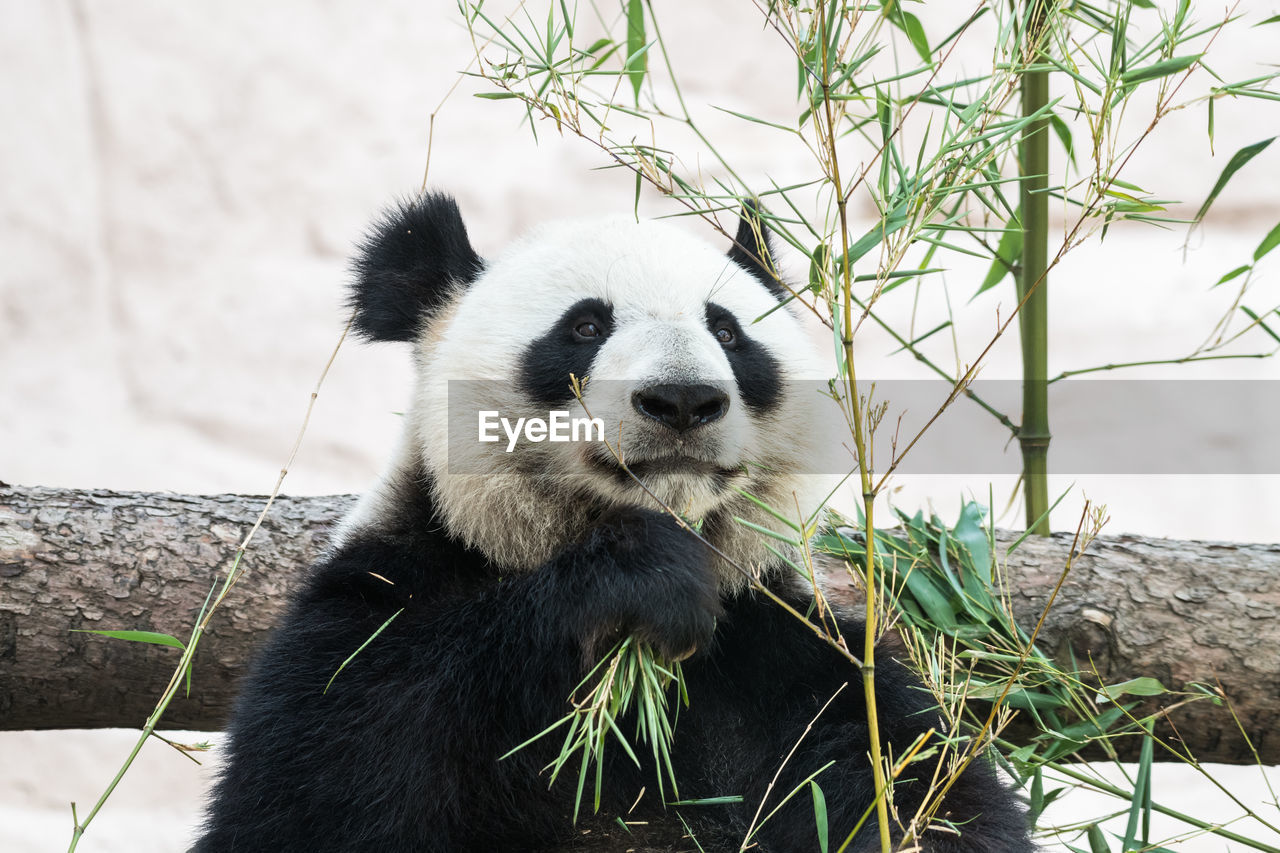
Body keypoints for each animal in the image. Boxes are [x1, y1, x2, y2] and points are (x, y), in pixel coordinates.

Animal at [194, 192, 1034, 850]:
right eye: (585, 327)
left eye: (728, 332)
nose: (683, 400)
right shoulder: (378, 598)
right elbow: (332, 773)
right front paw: (635, 581)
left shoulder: (785, 654)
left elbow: (917, 788)